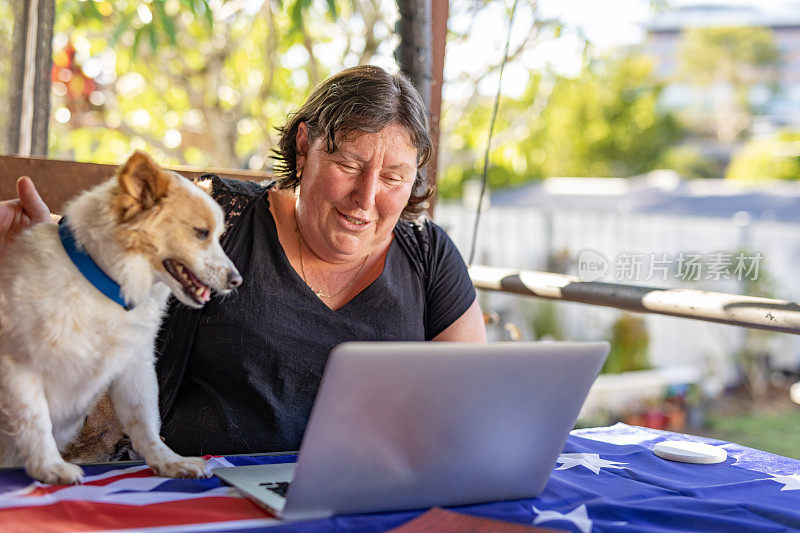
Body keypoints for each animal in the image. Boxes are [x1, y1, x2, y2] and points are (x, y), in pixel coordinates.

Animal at [0, 150, 242, 482]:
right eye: (201, 233)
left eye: (219, 237)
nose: (237, 281)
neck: (107, 290)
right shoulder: (23, 368)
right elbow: (36, 424)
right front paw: (50, 468)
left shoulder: (134, 367)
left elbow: (146, 423)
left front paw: (170, 462)